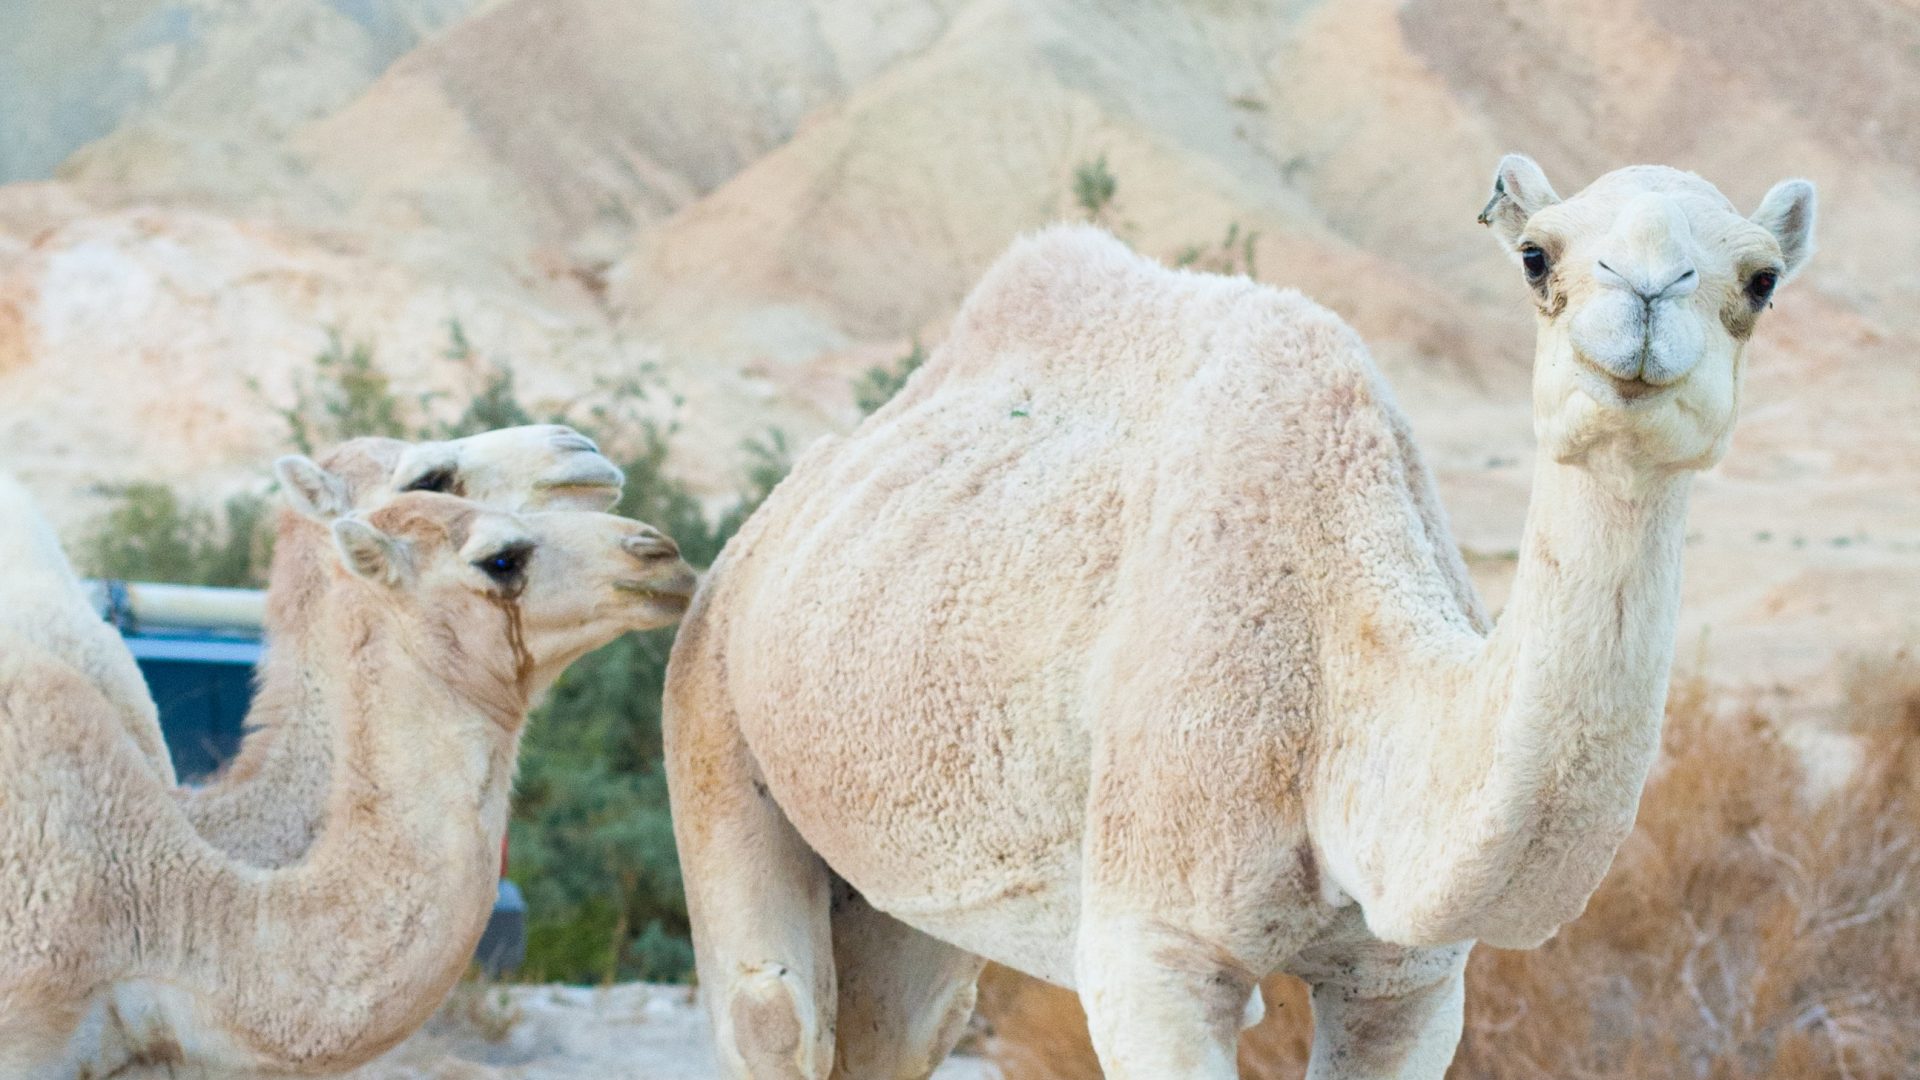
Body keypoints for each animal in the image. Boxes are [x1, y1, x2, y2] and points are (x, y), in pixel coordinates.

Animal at [663, 156, 1817, 1078]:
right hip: (709, 711)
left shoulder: (1406, 984)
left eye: (1761, 279)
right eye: (1538, 257)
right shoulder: (1155, 950)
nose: (1646, 296)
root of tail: (742, 553)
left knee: (905, 1023)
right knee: (773, 1010)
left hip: (908, 874)